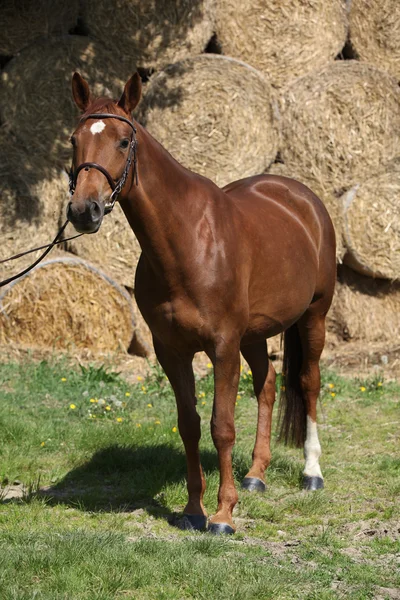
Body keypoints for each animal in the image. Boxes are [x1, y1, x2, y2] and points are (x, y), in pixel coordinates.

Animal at [68, 71, 334, 536]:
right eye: (73, 140)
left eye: (123, 141)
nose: (85, 210)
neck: (188, 241)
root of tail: (302, 197)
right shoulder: (171, 351)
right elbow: (189, 425)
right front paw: (194, 509)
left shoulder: (222, 347)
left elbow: (221, 426)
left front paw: (223, 516)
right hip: (255, 334)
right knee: (267, 384)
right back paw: (256, 475)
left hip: (313, 317)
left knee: (308, 382)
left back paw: (311, 472)